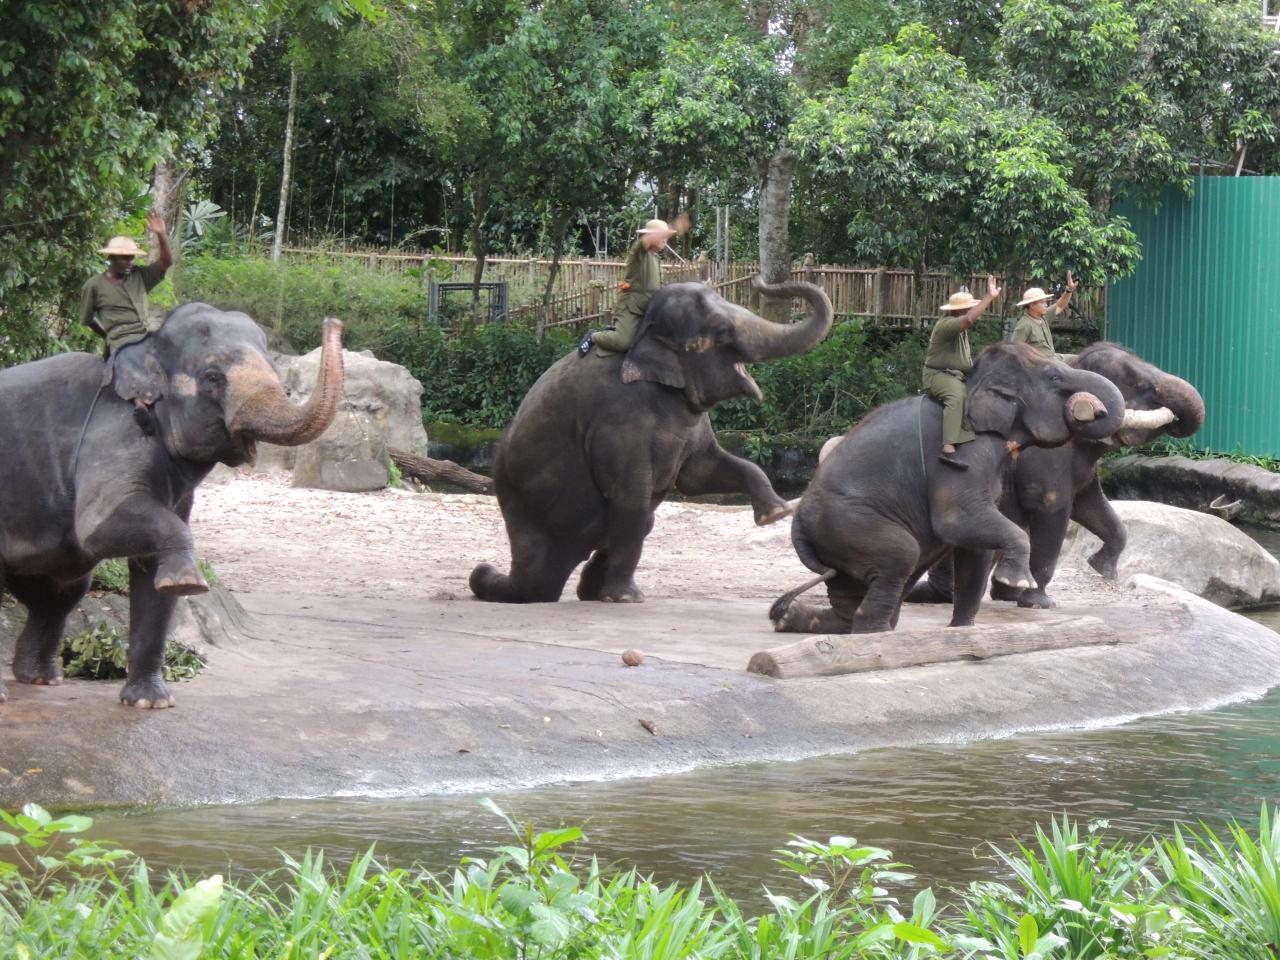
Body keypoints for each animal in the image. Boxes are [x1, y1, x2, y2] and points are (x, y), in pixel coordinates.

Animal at [0, 304, 344, 707]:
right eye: (212, 376)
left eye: (277, 371)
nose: (333, 322)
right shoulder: (113, 437)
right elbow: (97, 527)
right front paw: (189, 582)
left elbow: (151, 570)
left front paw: (150, 702)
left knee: (59, 593)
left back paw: (41, 679)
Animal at [470, 278, 833, 604]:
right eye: (720, 330)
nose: (761, 282)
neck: (644, 332)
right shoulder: (619, 421)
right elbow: (631, 492)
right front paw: (626, 599)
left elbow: (700, 474)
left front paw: (775, 514)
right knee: (626, 519)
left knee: (643, 521)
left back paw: (588, 591)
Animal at [769, 342, 1127, 634]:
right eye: (1054, 377)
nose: (1093, 408)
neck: (971, 384)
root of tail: (798, 523)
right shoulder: (965, 454)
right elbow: (958, 521)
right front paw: (1014, 581)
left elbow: (976, 547)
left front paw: (962, 630)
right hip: (846, 524)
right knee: (901, 554)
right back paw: (875, 633)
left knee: (851, 591)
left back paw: (792, 619)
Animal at [907, 342, 1205, 609]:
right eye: (1143, 386)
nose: (1175, 421)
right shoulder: (1046, 463)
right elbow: (1054, 512)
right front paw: (1039, 603)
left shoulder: (1083, 468)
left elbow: (1092, 507)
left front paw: (1101, 569)